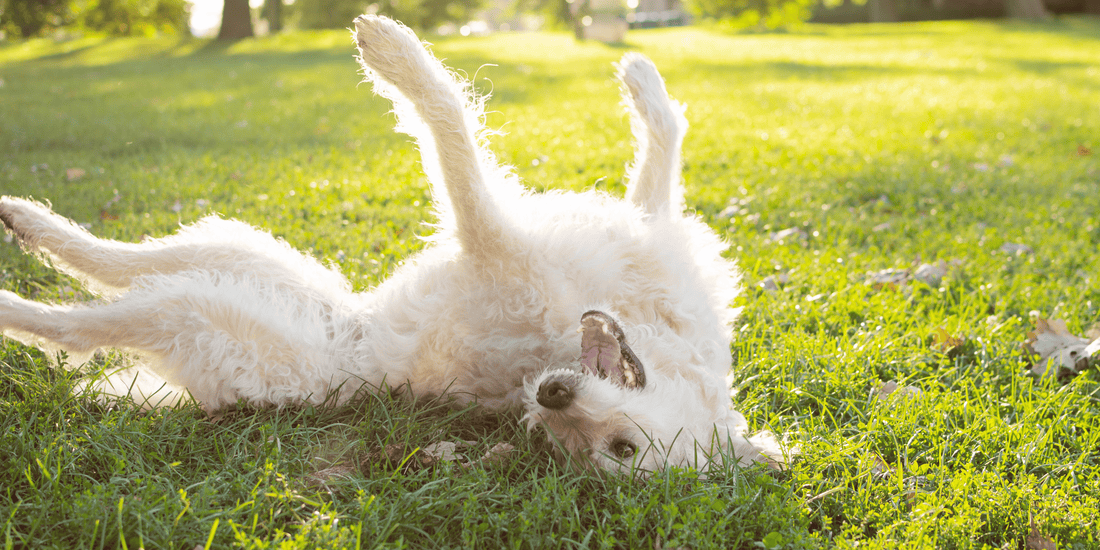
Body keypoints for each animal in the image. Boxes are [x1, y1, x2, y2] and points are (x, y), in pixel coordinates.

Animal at [2, 16, 783, 473]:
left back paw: (18, 292)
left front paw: (395, 56)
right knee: (118, 260)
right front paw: (642, 80)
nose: (553, 397)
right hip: (235, 251)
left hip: (200, 311)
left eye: (616, 449)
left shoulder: (493, 241)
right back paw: (27, 219)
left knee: (79, 324)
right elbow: (661, 155)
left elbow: (454, 135)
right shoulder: (642, 231)